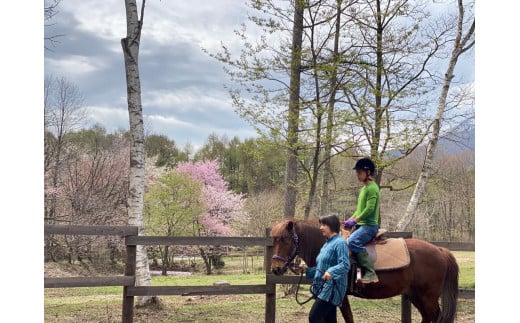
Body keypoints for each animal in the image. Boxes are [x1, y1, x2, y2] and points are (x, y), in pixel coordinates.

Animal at [270, 219, 458, 322]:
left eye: (285, 239)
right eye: (274, 239)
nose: (276, 269)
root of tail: (440, 250)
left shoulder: (340, 295)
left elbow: (349, 318)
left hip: (428, 297)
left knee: (435, 316)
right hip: (416, 295)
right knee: (428, 317)